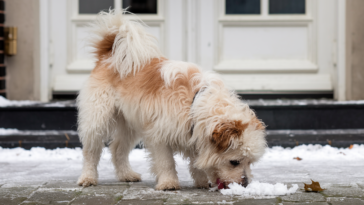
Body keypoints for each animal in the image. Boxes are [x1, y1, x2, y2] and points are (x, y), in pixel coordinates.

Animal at [77, 8, 266, 190]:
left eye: (250, 162)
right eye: (234, 161)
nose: (245, 184)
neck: (194, 103)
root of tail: (108, 54)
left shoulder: (192, 135)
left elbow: (196, 163)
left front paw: (202, 181)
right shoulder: (159, 135)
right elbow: (166, 162)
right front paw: (168, 183)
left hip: (129, 123)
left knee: (117, 149)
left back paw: (126, 175)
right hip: (98, 118)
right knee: (91, 151)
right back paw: (87, 178)